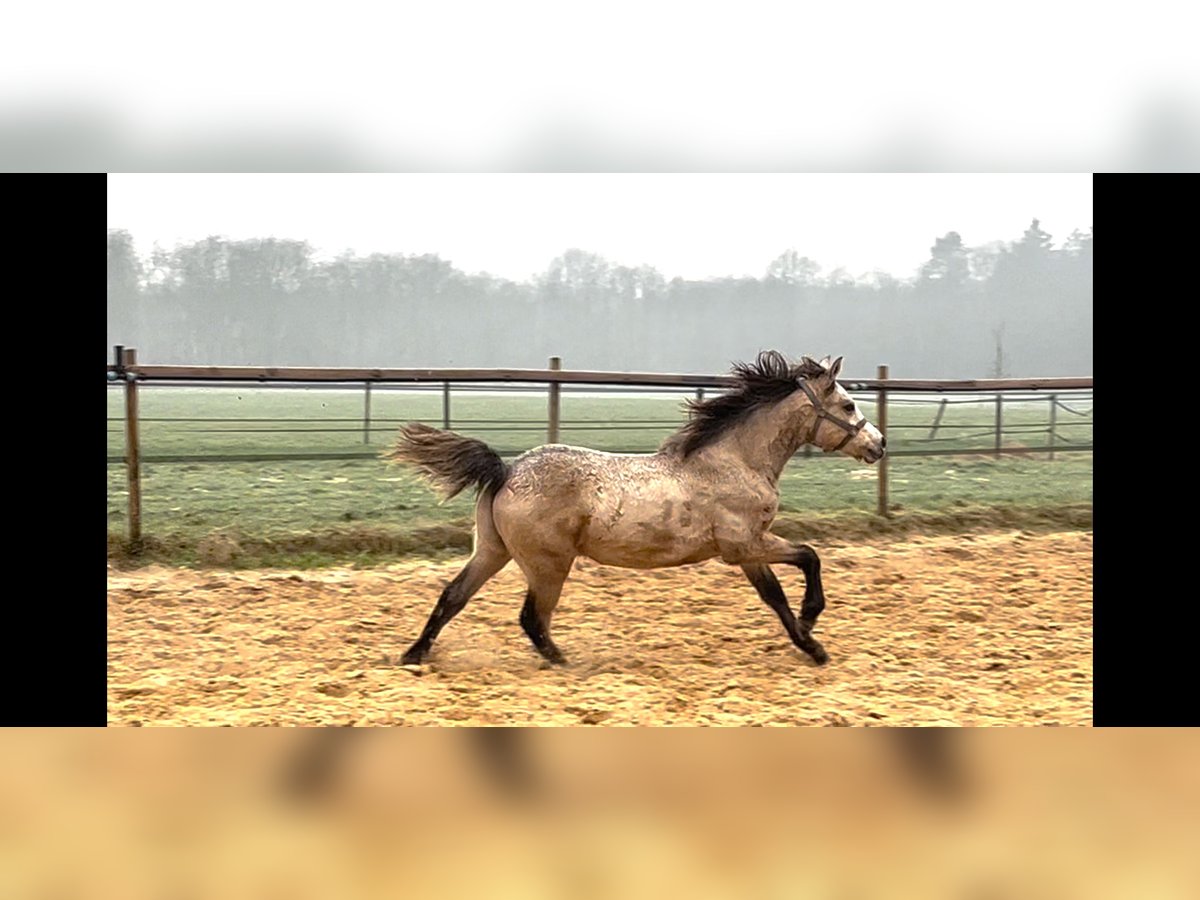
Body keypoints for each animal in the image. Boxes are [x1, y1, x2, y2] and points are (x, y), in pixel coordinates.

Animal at [388, 352, 888, 672]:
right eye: (848, 404)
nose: (879, 444)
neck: (734, 461)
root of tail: (507, 470)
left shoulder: (747, 552)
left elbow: (775, 597)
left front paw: (810, 645)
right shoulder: (745, 544)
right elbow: (809, 557)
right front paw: (812, 623)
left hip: (495, 551)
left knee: (453, 596)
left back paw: (413, 657)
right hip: (548, 564)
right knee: (531, 618)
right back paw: (566, 663)